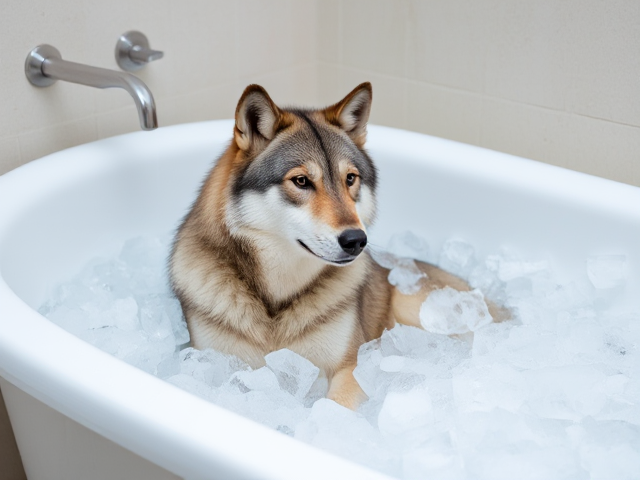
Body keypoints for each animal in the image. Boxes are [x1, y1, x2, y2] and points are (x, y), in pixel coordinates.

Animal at [170, 83, 503, 409]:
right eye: (301, 181)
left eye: (350, 179)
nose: (356, 240)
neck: (277, 301)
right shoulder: (214, 365)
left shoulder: (351, 365)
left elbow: (334, 408)